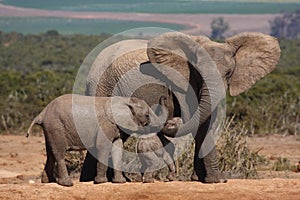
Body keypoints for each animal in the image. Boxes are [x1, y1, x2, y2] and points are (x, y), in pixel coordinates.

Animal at [26, 94, 168, 186]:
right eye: (147, 115)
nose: (165, 97)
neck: (124, 101)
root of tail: (42, 113)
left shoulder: (116, 126)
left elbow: (117, 148)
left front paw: (119, 182)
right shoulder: (107, 124)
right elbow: (103, 147)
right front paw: (101, 182)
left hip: (51, 128)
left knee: (50, 153)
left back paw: (48, 181)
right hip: (56, 126)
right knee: (59, 153)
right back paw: (66, 183)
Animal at [82, 31, 282, 183]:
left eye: (229, 73)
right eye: (199, 72)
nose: (164, 99)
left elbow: (207, 124)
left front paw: (202, 179)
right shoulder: (185, 84)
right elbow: (198, 123)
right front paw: (214, 180)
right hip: (101, 84)